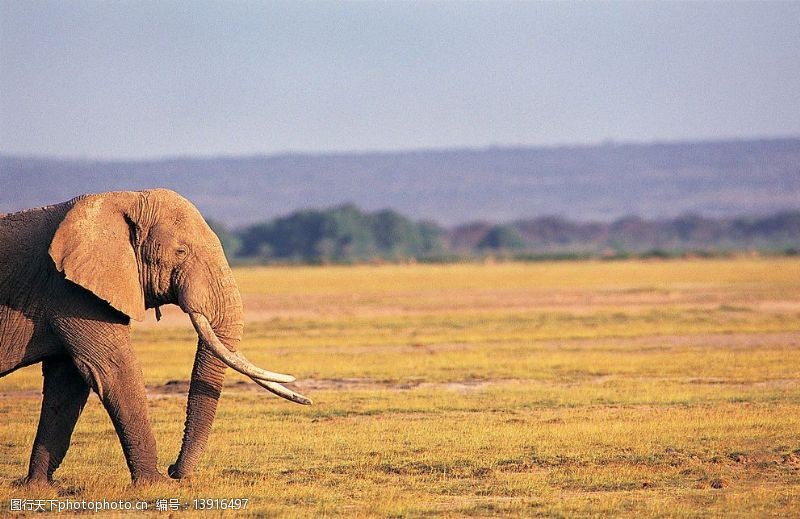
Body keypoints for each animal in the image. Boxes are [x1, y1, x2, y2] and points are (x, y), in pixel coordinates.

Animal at [0, 189, 310, 486]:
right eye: (181, 251)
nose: (174, 470)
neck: (121, 198)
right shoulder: (71, 292)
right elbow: (113, 371)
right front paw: (155, 484)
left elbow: (68, 382)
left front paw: (39, 488)